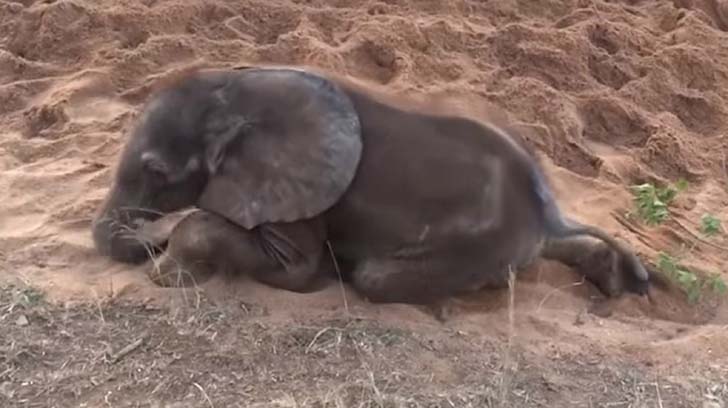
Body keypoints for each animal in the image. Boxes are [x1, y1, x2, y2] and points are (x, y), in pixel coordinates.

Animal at [91, 64, 652, 305]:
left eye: (157, 172)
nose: (138, 236)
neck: (230, 90)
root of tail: (544, 205)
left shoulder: (306, 194)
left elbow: (294, 267)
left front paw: (166, 273)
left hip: (484, 241)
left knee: (376, 279)